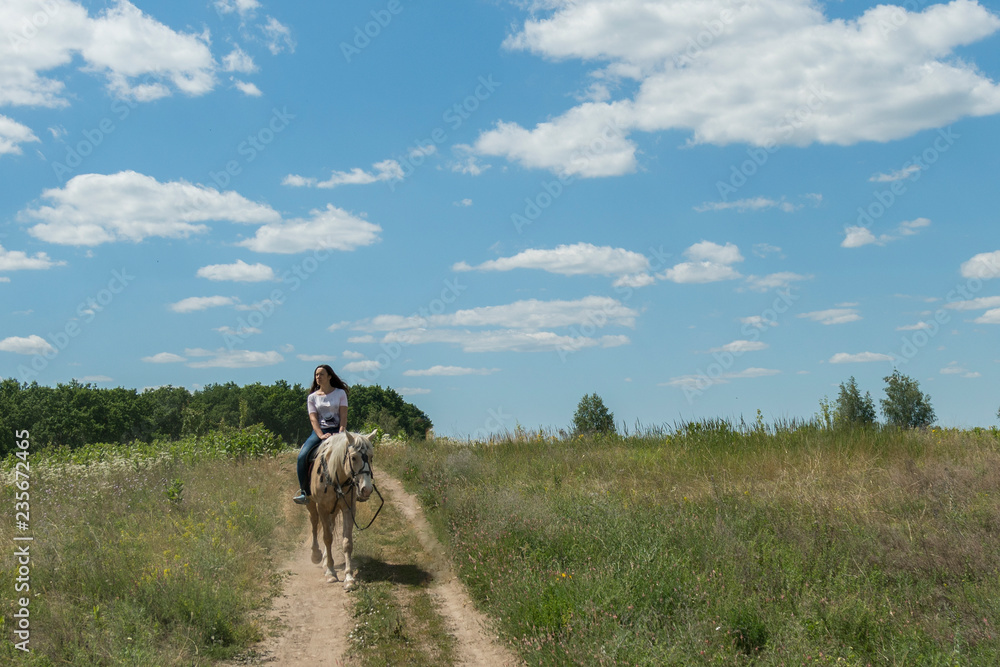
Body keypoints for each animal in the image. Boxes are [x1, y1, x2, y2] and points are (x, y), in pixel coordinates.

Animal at [304, 430, 376, 592]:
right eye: (353, 457)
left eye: (371, 457)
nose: (366, 489)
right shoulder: (322, 508)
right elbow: (327, 538)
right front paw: (331, 573)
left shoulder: (348, 509)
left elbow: (346, 542)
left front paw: (349, 578)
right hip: (312, 504)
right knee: (314, 523)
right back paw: (316, 555)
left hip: (334, 509)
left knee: (329, 526)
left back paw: (325, 560)